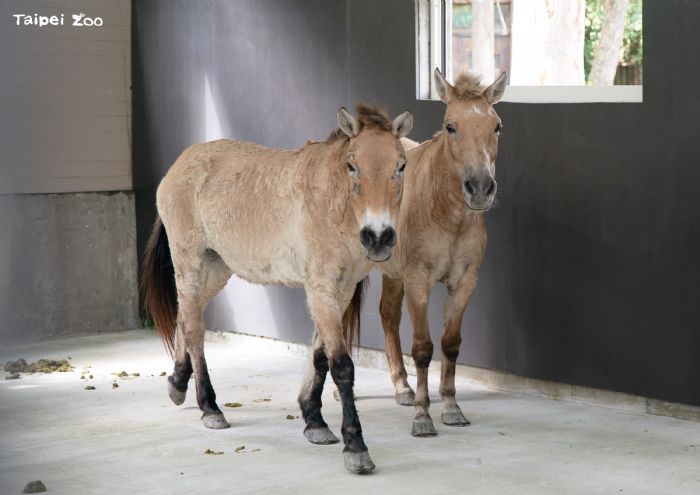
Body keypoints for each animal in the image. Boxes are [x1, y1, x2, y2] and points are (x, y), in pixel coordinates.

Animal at [141, 104, 413, 473]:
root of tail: (179, 164)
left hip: (216, 269)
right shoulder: (321, 288)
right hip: (190, 263)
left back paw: (177, 384)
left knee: (186, 316)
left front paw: (314, 422)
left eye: (401, 166)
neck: (333, 204)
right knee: (195, 328)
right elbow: (341, 365)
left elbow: (319, 357)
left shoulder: (341, 291)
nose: (379, 237)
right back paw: (210, 407)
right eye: (352, 165)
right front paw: (355, 447)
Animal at [373, 69, 507, 437]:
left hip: (392, 274)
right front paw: (423, 416)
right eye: (450, 126)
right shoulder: (418, 282)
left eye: (497, 126)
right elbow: (422, 348)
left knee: (388, 315)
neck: (445, 213)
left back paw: (402, 387)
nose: (480, 188)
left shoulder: (463, 283)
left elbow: (450, 344)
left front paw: (450, 407)